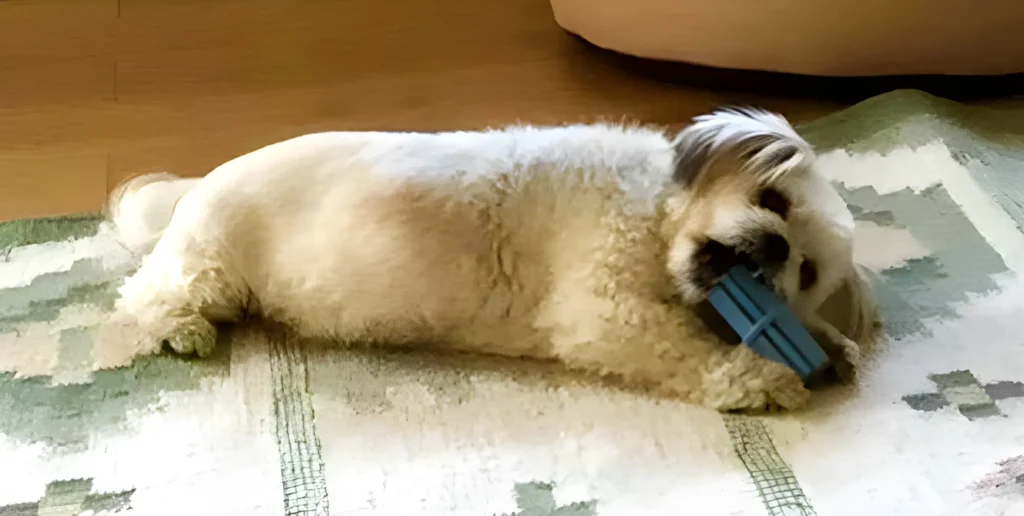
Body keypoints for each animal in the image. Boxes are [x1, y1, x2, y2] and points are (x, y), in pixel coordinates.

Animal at [105, 109, 880, 411]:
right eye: (772, 201)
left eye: (806, 273)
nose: (774, 246)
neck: (655, 215)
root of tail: (195, 188)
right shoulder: (605, 311)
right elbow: (696, 354)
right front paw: (770, 375)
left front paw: (828, 343)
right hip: (210, 267)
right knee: (145, 296)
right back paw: (181, 330)